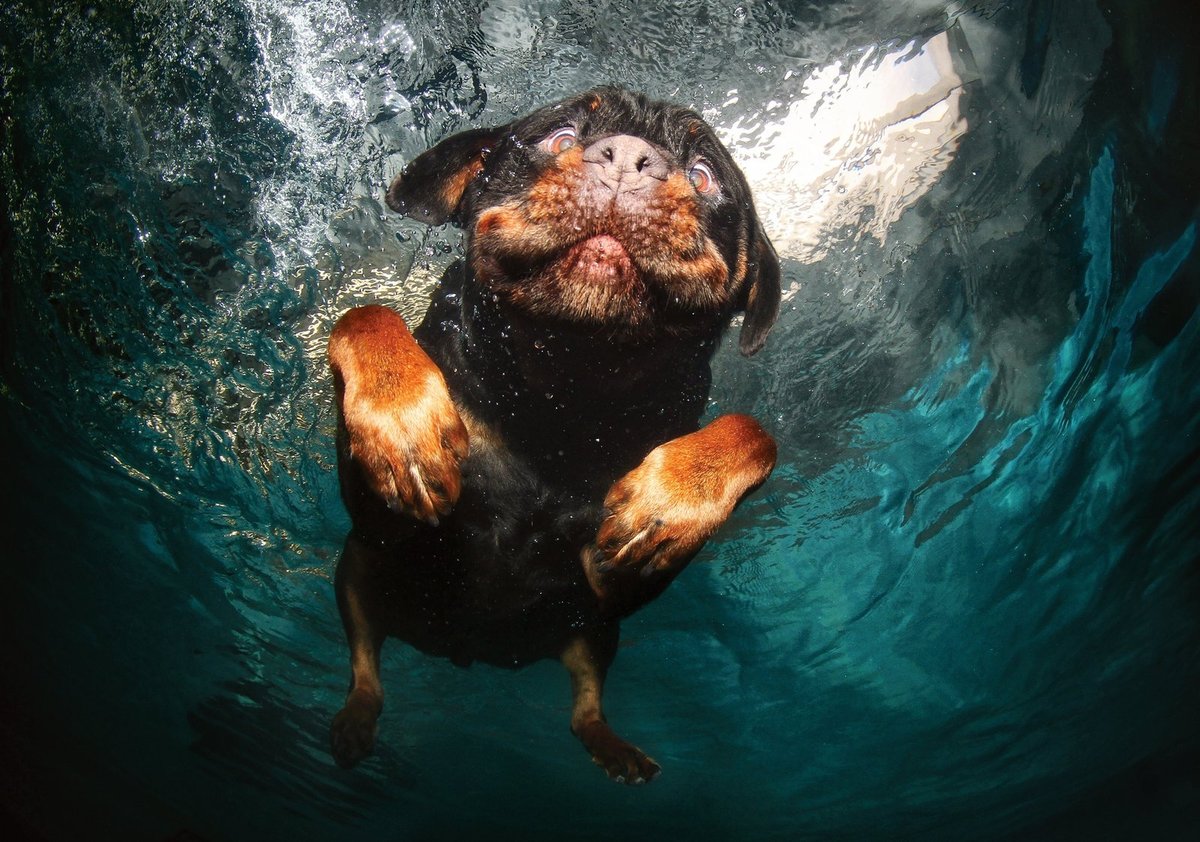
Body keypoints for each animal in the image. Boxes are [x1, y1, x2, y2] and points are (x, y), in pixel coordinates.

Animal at [326, 85, 777, 786]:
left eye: (705, 176)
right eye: (559, 136)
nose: (629, 159)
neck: (562, 397)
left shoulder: (616, 589)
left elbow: (756, 432)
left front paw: (670, 501)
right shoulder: (383, 527)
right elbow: (364, 313)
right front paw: (402, 424)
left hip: (593, 633)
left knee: (584, 705)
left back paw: (614, 749)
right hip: (356, 574)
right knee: (364, 665)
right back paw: (355, 722)